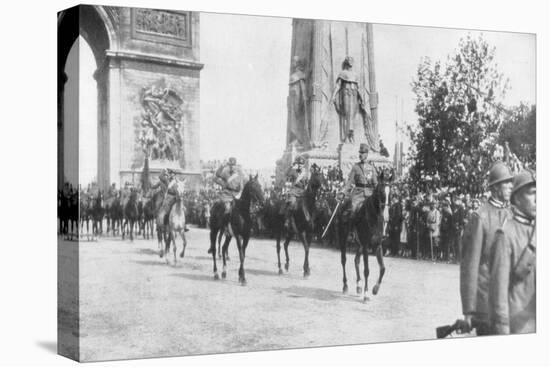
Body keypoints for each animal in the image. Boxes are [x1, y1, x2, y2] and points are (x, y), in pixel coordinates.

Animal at [334, 169, 394, 302]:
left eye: (391, 192)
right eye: (381, 191)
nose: (386, 216)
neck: (373, 216)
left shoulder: (377, 246)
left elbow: (383, 268)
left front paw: (375, 289)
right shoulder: (367, 246)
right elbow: (367, 270)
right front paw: (366, 294)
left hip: (359, 244)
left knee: (356, 260)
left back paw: (358, 286)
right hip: (343, 239)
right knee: (343, 260)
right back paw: (345, 286)